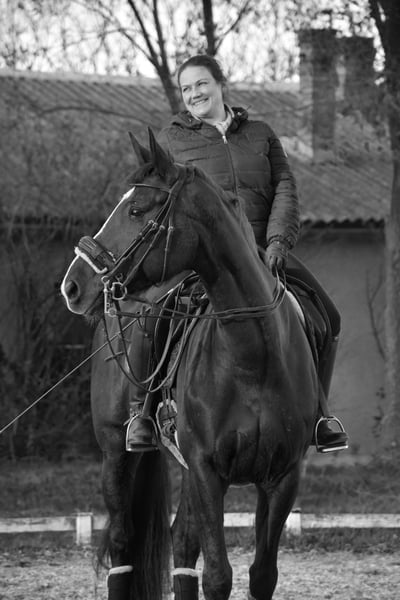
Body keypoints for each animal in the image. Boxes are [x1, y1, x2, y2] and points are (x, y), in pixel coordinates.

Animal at [61, 129, 320, 600]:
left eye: (137, 209)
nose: (73, 285)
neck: (251, 355)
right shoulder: (206, 469)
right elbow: (218, 576)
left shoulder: (282, 476)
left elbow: (261, 575)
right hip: (115, 452)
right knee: (122, 544)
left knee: (182, 546)